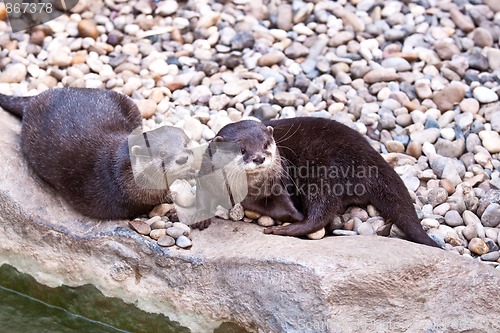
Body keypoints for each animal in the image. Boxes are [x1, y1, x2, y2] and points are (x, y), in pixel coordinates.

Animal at [193, 116, 440, 246]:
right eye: (242, 149)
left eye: (266, 144)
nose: (259, 157)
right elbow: (202, 194)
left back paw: (285, 229)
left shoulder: (279, 184)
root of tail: (371, 157)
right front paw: (200, 218)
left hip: (325, 174)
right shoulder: (207, 172)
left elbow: (289, 205)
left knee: (322, 211)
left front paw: (295, 217)